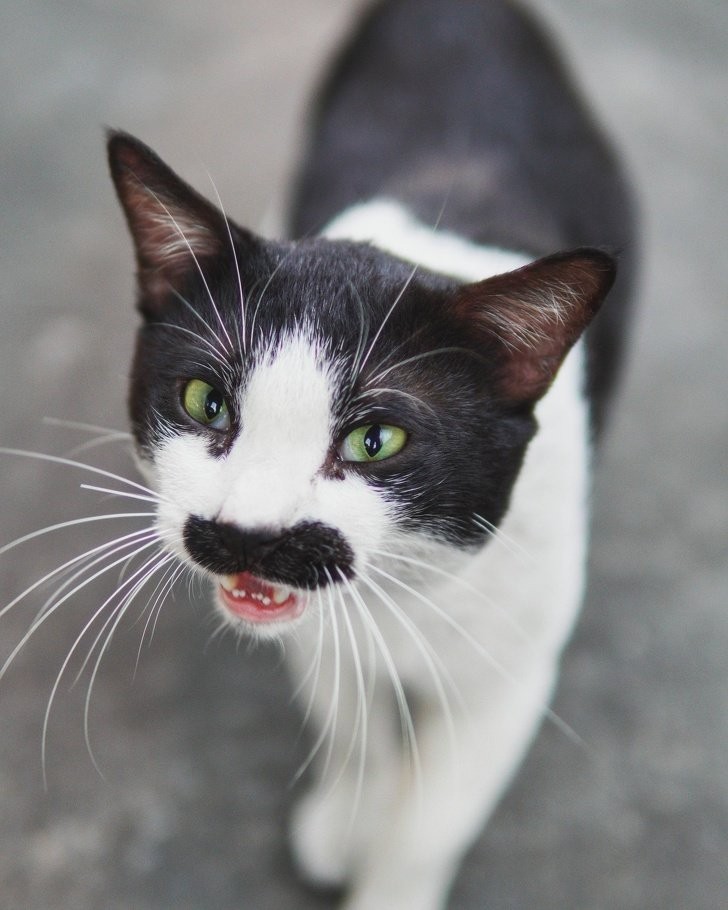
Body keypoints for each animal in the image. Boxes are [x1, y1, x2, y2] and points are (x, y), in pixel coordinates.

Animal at [105, 1, 636, 910]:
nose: (244, 535)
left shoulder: (515, 665)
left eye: (375, 441)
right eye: (206, 401)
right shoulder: (315, 630)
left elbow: (433, 821)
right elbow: (353, 718)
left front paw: (389, 866)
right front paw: (349, 816)